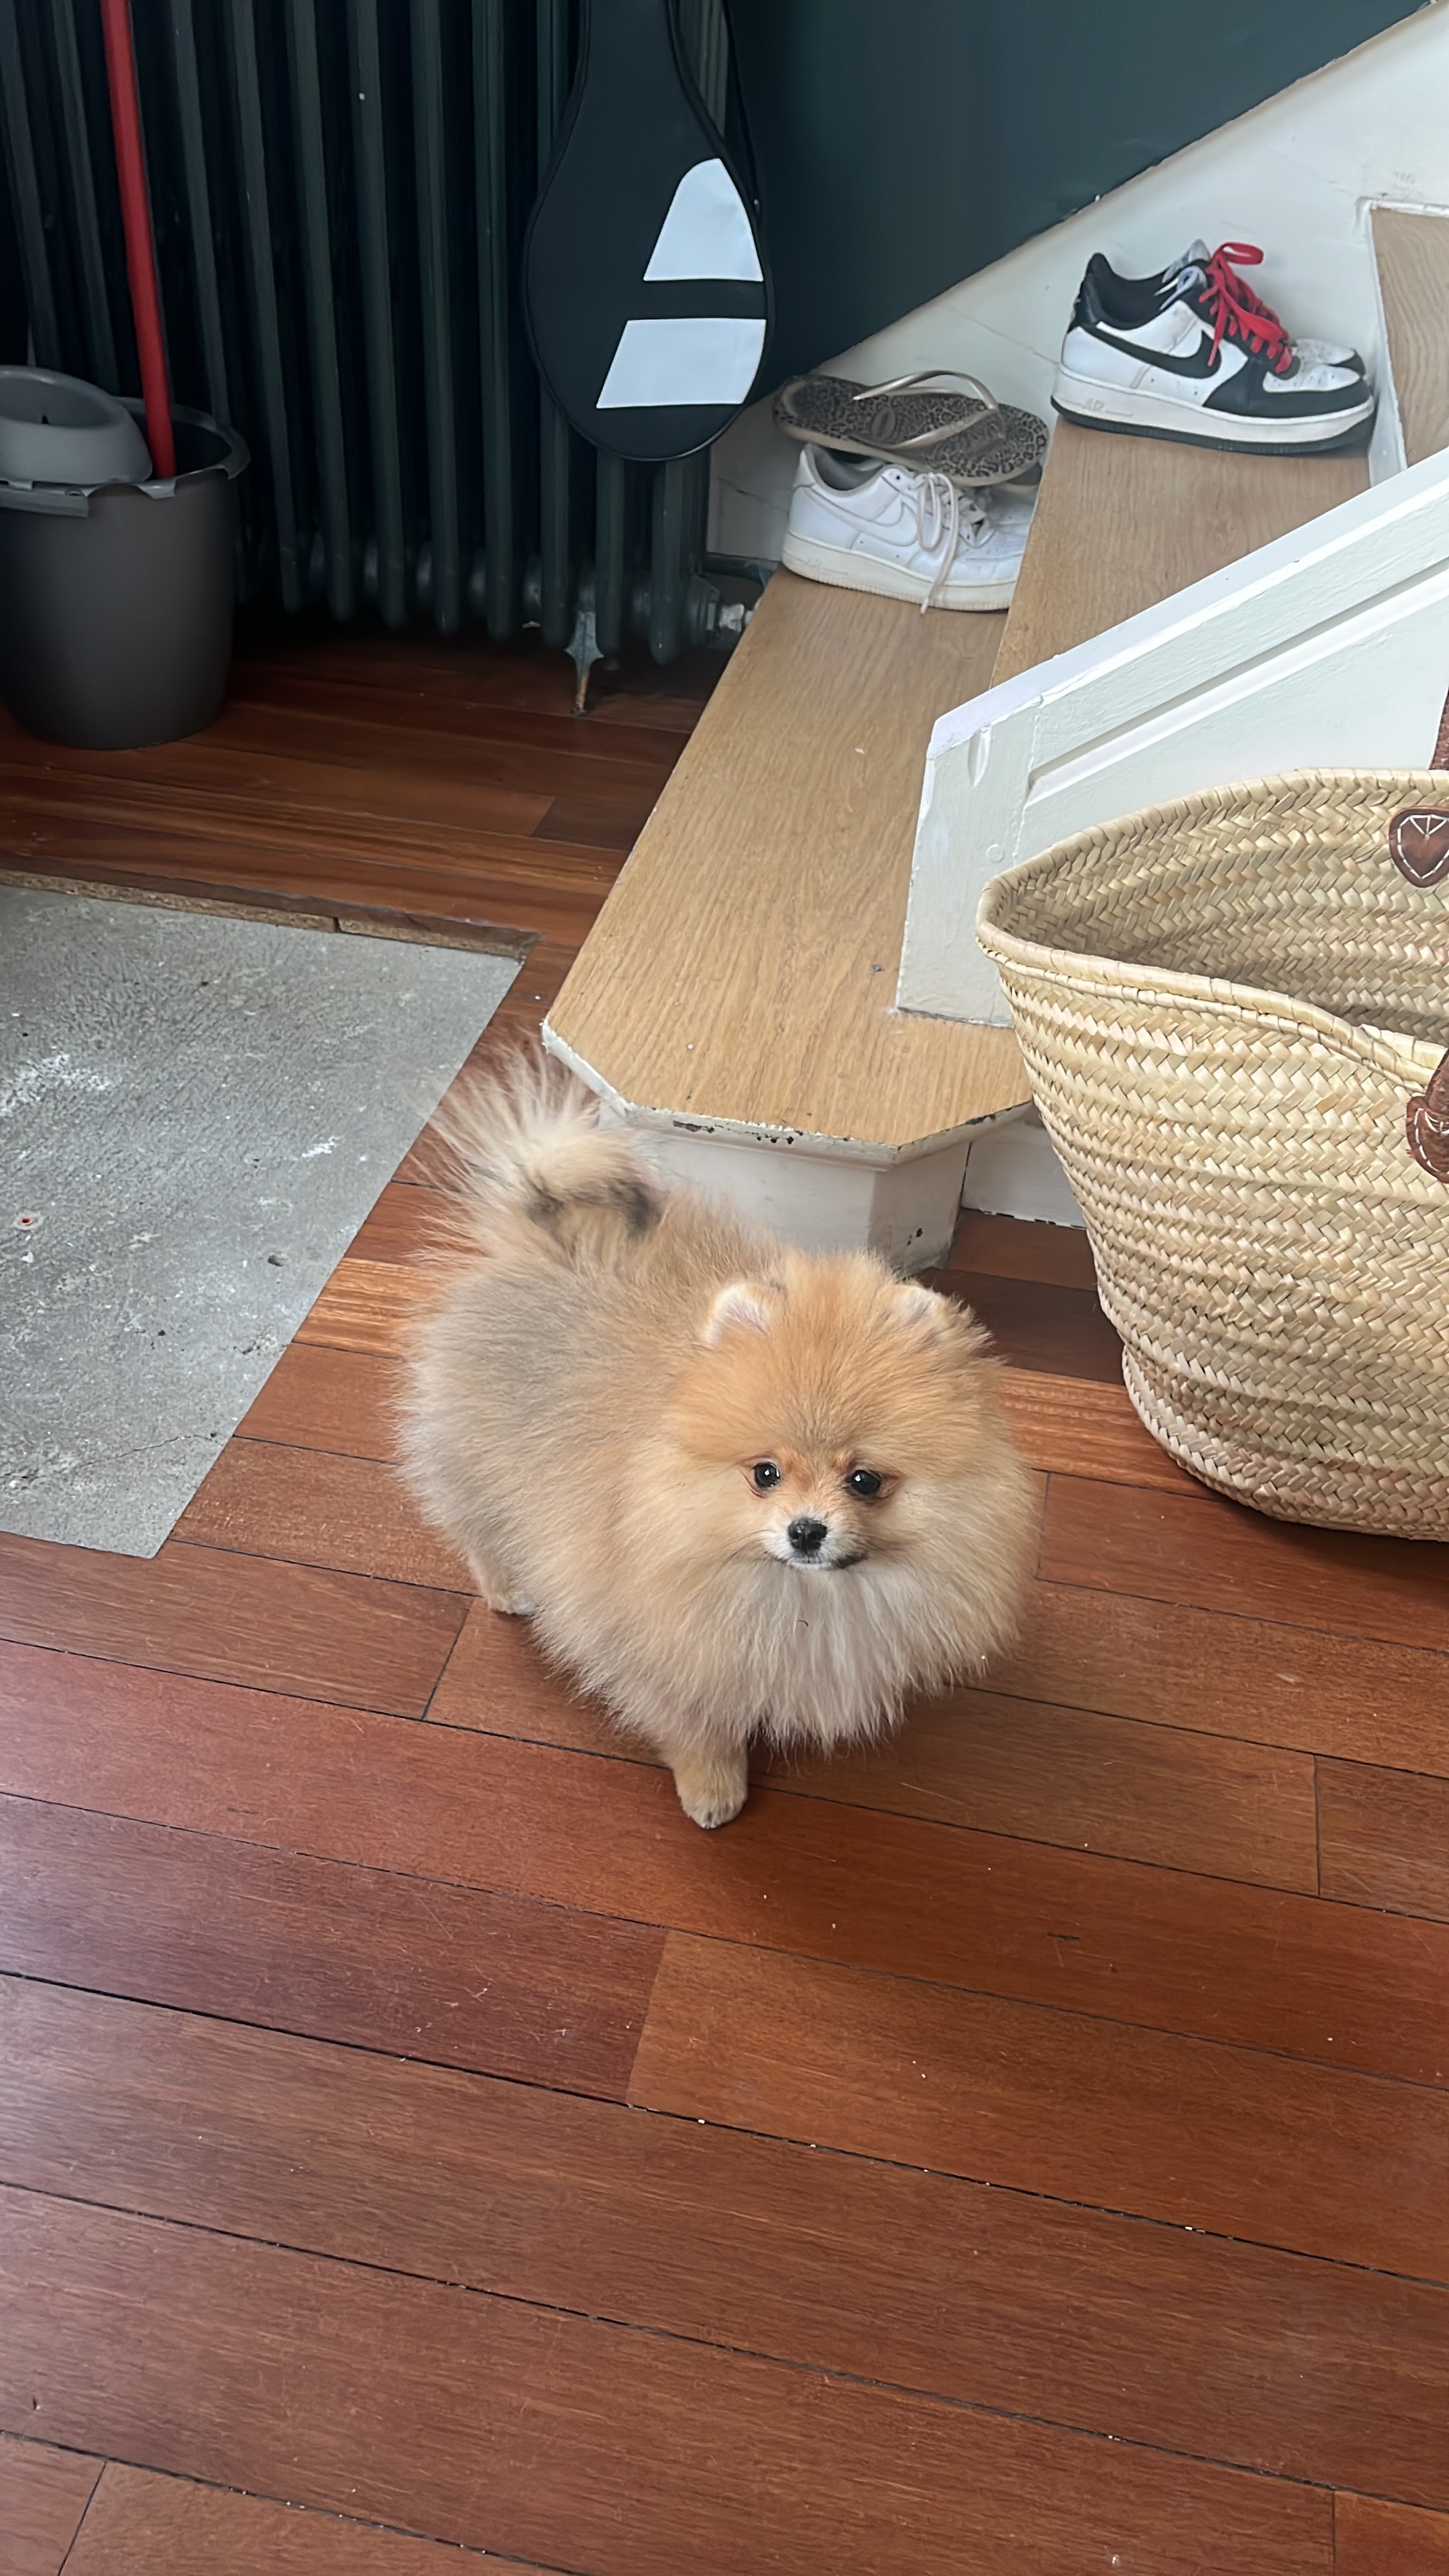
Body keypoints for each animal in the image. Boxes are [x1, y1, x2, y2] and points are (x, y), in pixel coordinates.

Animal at [399, 1051, 1036, 1828]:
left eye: (864, 1480)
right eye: (764, 1473)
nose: (806, 1530)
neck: (798, 1596)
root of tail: (542, 1244)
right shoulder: (658, 1639)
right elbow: (695, 1723)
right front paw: (713, 1790)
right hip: (474, 1456)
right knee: (479, 1529)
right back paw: (510, 1587)